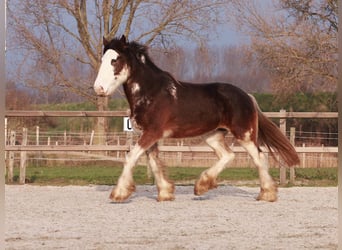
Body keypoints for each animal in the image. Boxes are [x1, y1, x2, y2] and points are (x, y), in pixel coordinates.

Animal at [93, 35, 300, 202]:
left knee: (259, 157)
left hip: (244, 135)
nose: (99, 89)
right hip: (212, 135)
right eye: (102, 59)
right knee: (228, 155)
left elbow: (130, 158)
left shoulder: (152, 133)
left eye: (115, 60)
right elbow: (153, 163)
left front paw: (119, 193)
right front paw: (165, 193)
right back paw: (202, 186)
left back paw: (267, 194)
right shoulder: (149, 135)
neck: (152, 93)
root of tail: (247, 96)